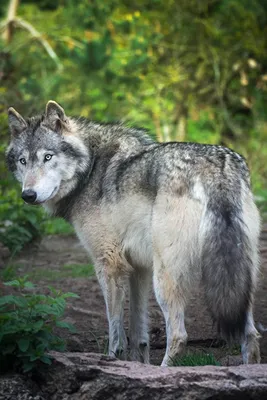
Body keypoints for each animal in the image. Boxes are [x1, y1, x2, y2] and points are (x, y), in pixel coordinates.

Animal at [5, 101, 262, 366]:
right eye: (23, 161)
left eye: (47, 157)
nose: (28, 195)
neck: (90, 168)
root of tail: (217, 169)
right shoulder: (139, 269)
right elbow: (139, 334)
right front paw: (139, 364)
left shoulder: (109, 264)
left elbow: (116, 333)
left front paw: (112, 360)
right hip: (239, 278)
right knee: (250, 334)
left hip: (166, 278)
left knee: (179, 335)